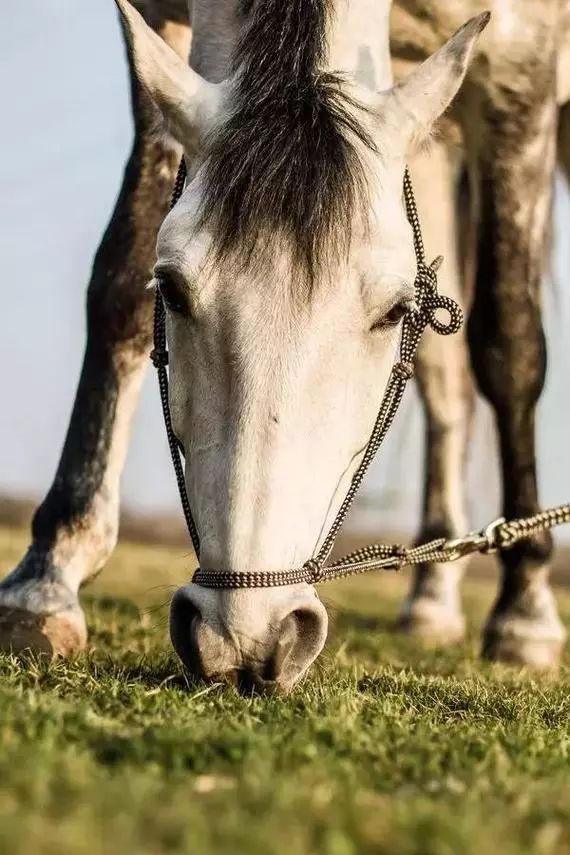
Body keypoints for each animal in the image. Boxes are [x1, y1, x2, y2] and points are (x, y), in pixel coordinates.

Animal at [1, 0, 564, 692]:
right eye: (172, 290)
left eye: (395, 311)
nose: (245, 635)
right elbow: (121, 281)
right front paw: (48, 576)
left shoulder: (523, 60)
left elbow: (510, 347)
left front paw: (525, 611)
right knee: (446, 385)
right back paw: (431, 598)